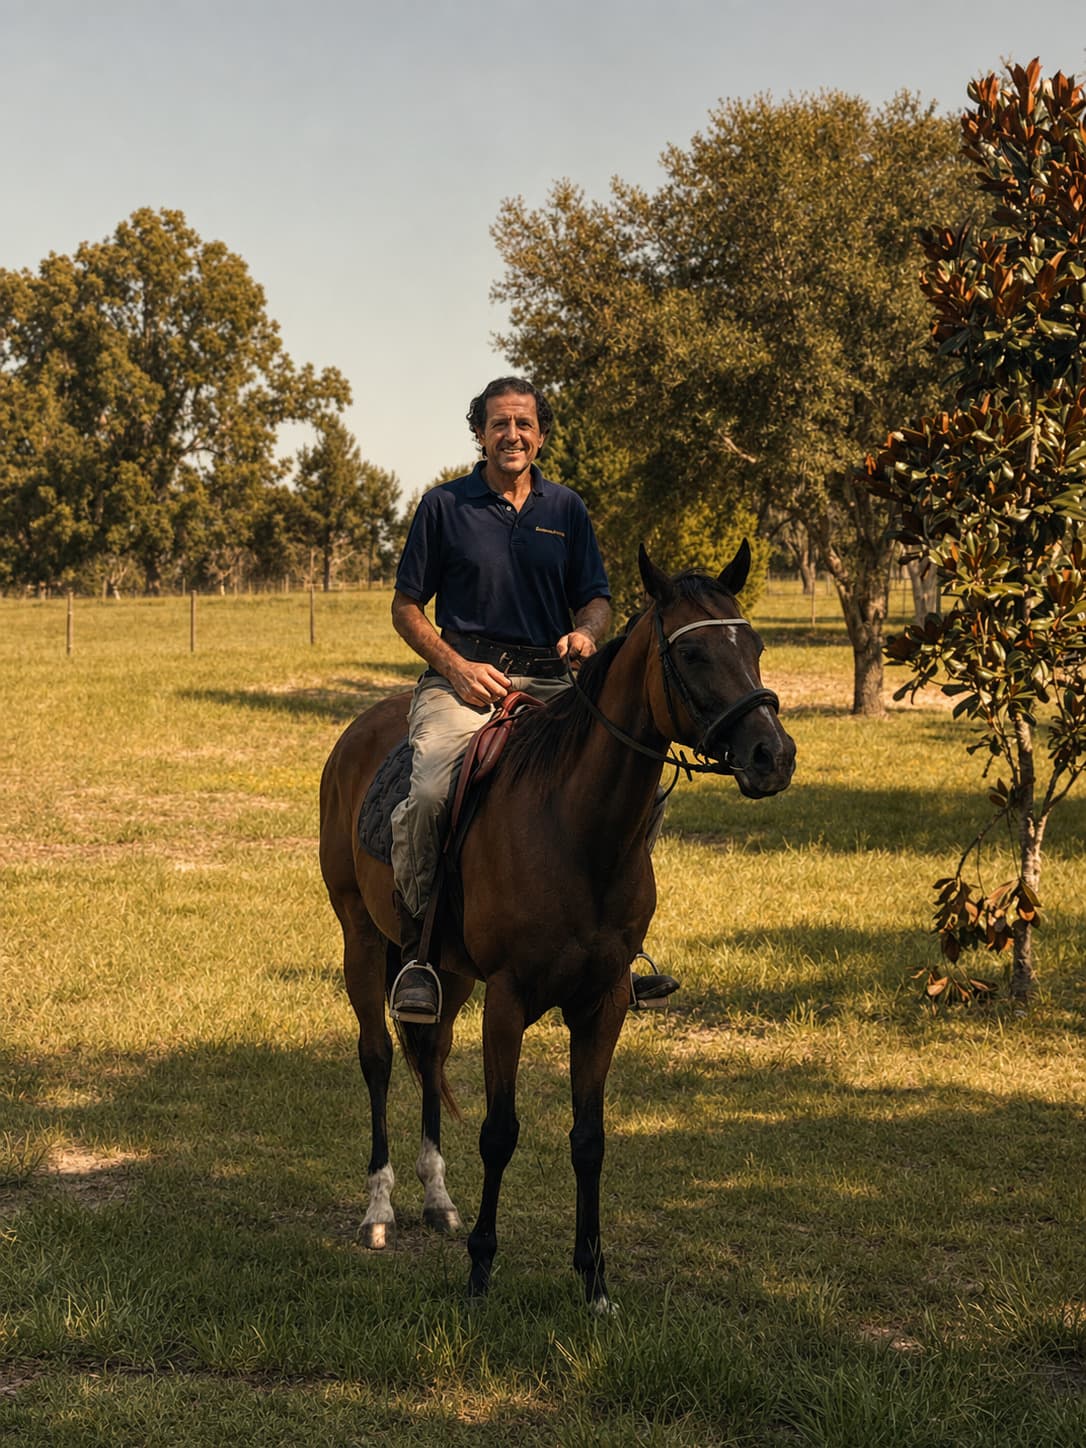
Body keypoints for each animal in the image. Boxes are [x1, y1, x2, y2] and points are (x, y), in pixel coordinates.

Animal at [318, 539, 795, 1307]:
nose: (772, 755)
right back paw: (380, 1209)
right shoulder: (509, 1000)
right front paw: (482, 1269)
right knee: (380, 1058)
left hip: (445, 971)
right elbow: (500, 1132)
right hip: (361, 940)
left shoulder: (603, 1003)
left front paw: (593, 1276)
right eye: (692, 656)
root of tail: (360, 733)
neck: (576, 830)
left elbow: (588, 1137)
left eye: (753, 645)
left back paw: (436, 1199)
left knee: (431, 1055)